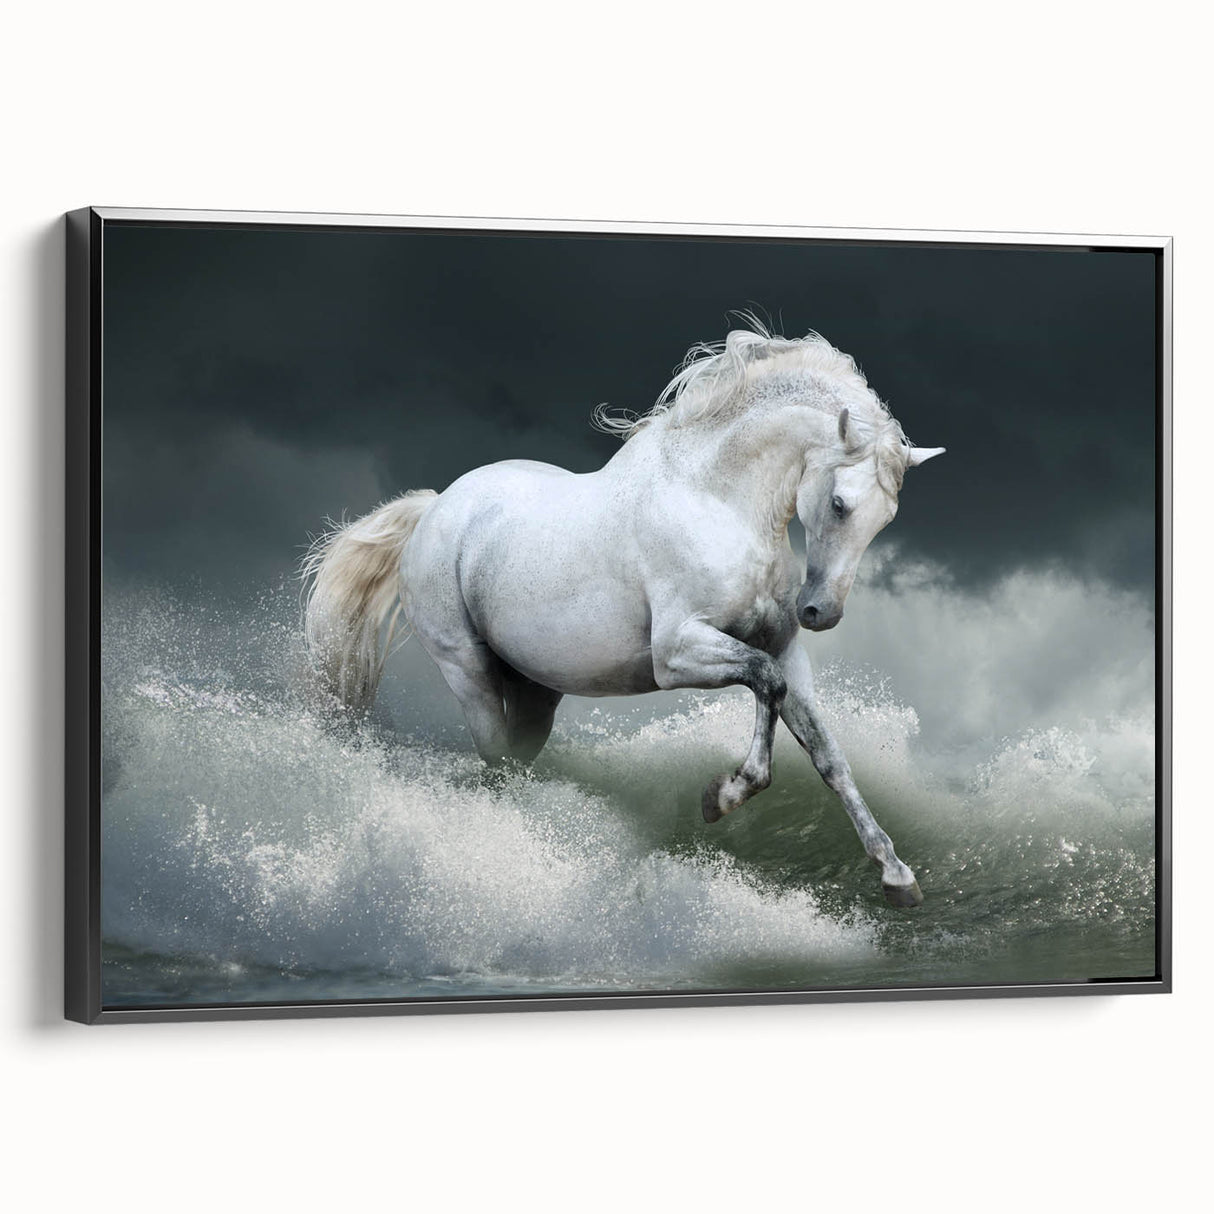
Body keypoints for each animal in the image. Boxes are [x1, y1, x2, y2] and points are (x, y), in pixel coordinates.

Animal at [303, 323, 944, 907]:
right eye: (839, 504)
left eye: (886, 518)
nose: (820, 612)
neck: (715, 500)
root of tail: (435, 508)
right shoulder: (677, 654)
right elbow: (765, 683)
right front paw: (723, 796)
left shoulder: (786, 649)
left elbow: (826, 752)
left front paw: (896, 875)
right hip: (468, 672)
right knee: (496, 762)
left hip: (535, 691)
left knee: (516, 760)